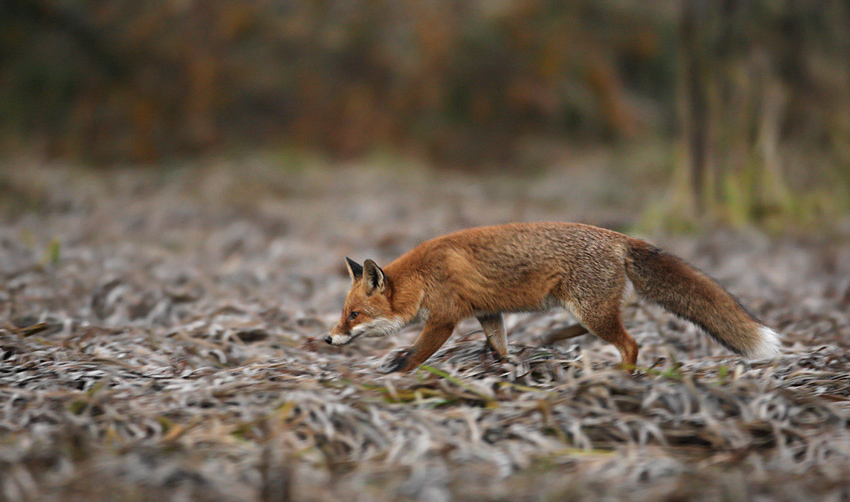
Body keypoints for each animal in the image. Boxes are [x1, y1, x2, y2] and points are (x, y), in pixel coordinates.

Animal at [326, 224, 780, 372]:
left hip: (592, 310)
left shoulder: (444, 319)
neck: (422, 277)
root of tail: (620, 237)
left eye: (354, 315)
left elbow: (416, 355)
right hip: (587, 308)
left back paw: (623, 378)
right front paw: (508, 370)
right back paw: (551, 341)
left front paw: (397, 376)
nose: (328, 338)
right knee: (602, 331)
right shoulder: (488, 313)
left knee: (631, 344)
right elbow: (499, 347)